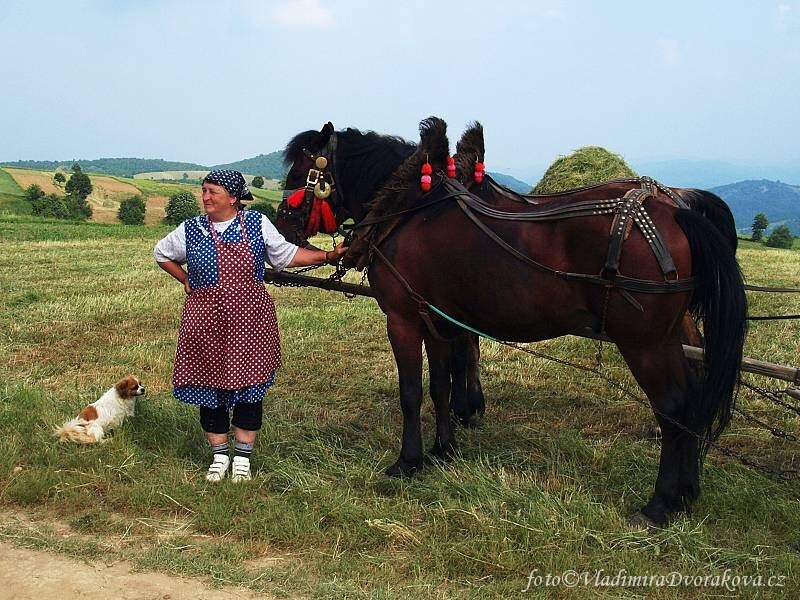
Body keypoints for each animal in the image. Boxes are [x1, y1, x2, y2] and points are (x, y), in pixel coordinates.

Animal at [278, 117, 748, 524]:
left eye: (302, 169)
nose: (283, 223)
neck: (411, 207)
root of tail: (675, 208)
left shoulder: (404, 319)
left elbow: (412, 392)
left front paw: (409, 461)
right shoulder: (437, 320)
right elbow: (441, 384)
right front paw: (444, 448)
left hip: (644, 342)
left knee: (674, 406)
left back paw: (660, 505)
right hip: (673, 334)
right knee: (694, 397)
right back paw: (687, 492)